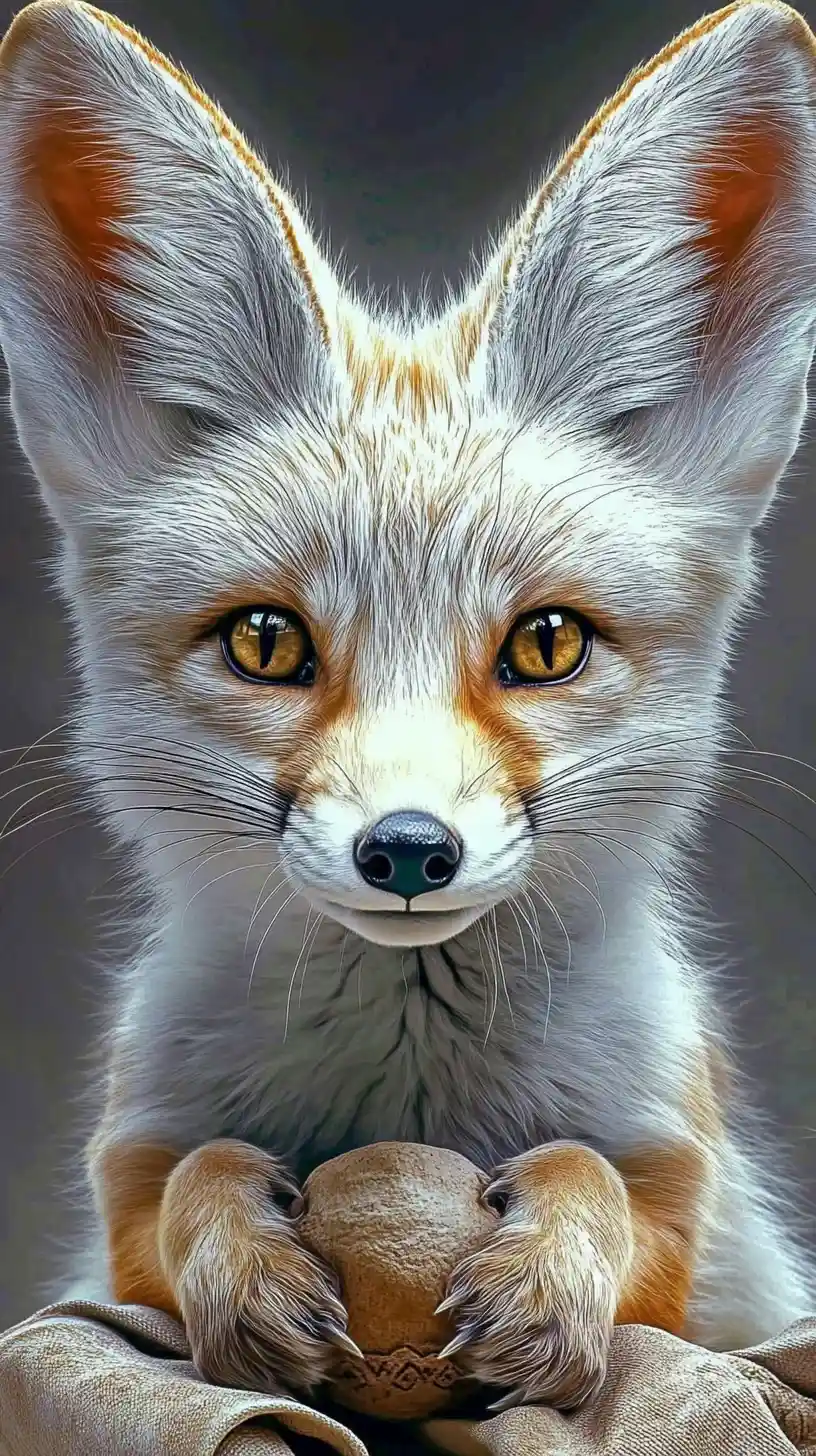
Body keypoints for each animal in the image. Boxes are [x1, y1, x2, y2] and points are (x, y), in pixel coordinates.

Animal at [0, 0, 815, 1416]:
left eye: (546, 643)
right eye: (267, 641)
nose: (409, 852)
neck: (412, 1088)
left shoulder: (682, 1186)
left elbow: (599, 1186)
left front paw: (549, 1275)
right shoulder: (129, 1177)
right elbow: (190, 1189)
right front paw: (245, 1273)